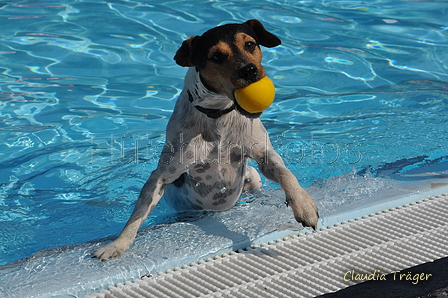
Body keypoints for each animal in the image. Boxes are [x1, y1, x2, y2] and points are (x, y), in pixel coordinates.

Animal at [94, 19, 318, 260]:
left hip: (252, 175)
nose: (250, 70)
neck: (218, 116)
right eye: (217, 56)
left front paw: (303, 204)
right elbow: (138, 213)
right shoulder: (164, 174)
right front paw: (118, 244)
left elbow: (286, 174)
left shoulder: (264, 156)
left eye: (250, 44)